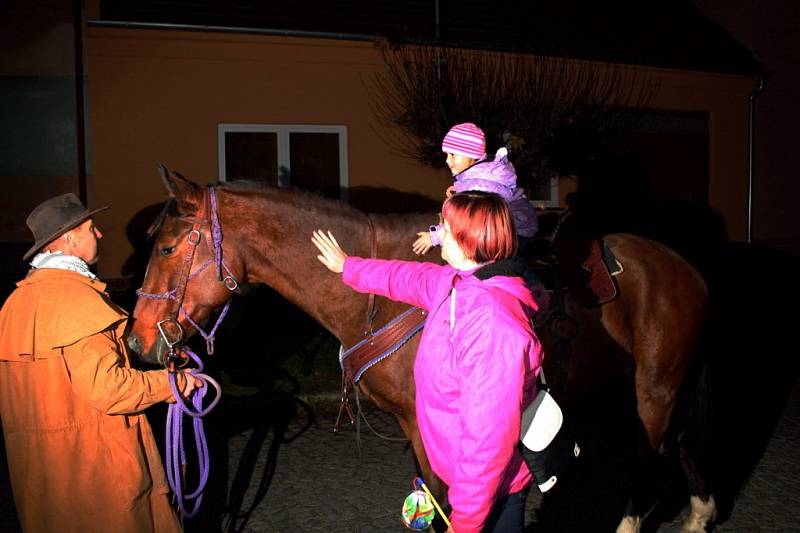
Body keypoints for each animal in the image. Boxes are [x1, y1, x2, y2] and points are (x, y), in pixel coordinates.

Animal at [128, 169, 716, 532]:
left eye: (167, 247)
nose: (136, 342)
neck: (380, 298)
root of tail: (684, 268)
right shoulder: (415, 427)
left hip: (655, 391)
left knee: (650, 455)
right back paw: (701, 514)